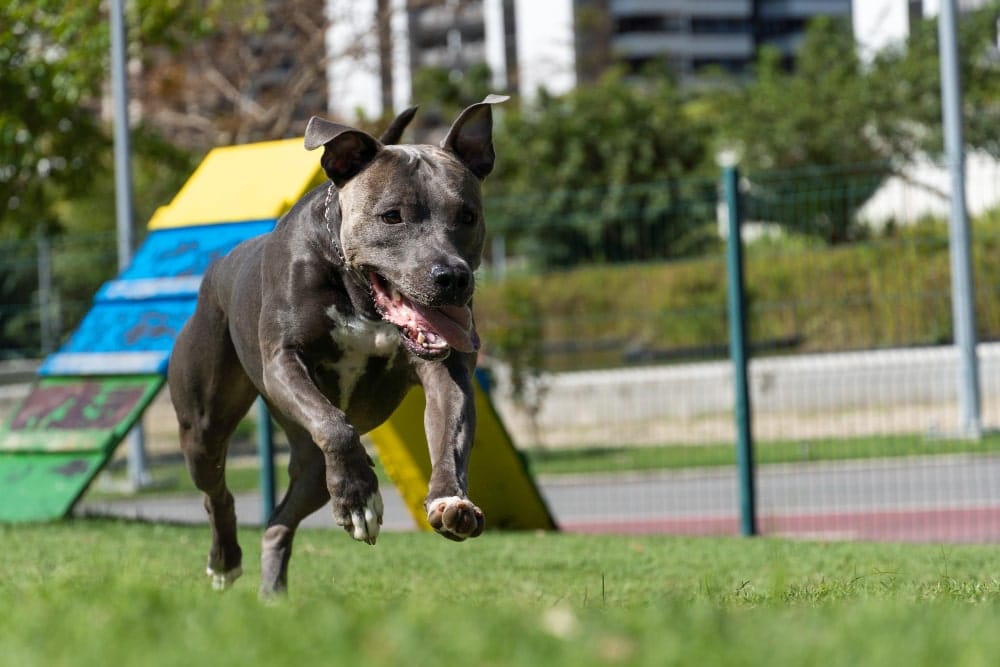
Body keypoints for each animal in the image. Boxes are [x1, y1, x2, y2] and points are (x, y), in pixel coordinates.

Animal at [168, 94, 508, 596]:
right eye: (392, 215)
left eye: (467, 216)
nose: (451, 277)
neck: (359, 295)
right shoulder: (284, 361)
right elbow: (335, 425)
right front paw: (359, 498)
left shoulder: (447, 372)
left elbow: (450, 433)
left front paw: (449, 500)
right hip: (202, 429)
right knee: (218, 494)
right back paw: (226, 561)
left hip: (310, 470)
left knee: (279, 520)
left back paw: (272, 591)